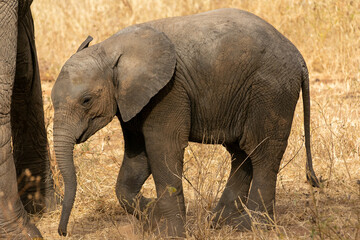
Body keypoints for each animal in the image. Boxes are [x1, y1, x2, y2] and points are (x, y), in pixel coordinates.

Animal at [52, 8, 320, 237]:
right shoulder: (132, 100)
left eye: (86, 100)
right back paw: (221, 223)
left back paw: (252, 227)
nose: (63, 232)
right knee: (241, 153)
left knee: (262, 152)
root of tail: (298, 57)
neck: (109, 49)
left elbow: (163, 150)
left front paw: (170, 232)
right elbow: (137, 157)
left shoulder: (168, 91)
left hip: (271, 91)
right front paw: (152, 216)